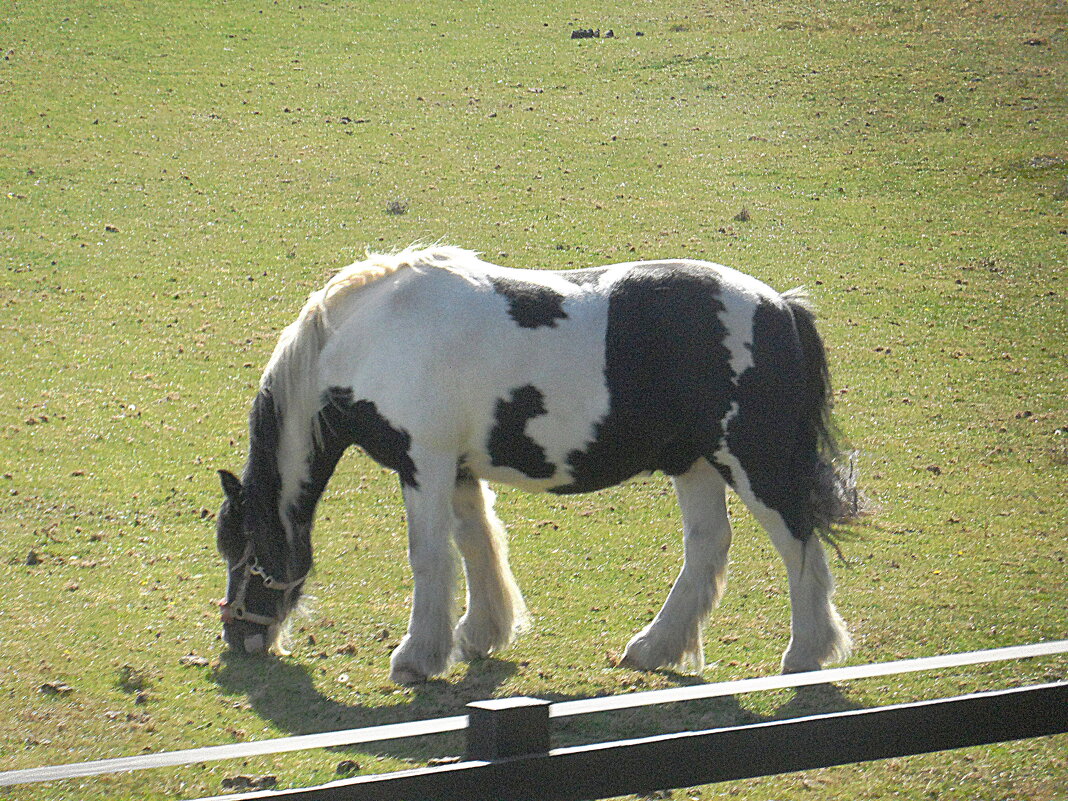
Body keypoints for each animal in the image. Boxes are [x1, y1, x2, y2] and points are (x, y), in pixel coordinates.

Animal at [216, 246, 858, 683]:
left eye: (244, 547)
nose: (238, 636)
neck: (373, 338)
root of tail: (781, 307)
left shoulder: (424, 461)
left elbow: (429, 557)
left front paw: (417, 658)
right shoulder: (458, 469)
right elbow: (477, 545)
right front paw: (479, 635)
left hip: (753, 462)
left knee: (798, 544)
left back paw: (805, 655)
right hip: (695, 462)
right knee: (707, 547)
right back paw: (653, 648)